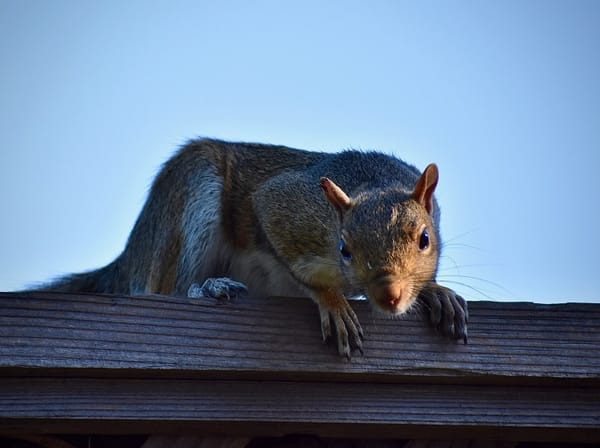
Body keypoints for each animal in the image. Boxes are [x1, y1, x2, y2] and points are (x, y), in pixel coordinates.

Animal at [36, 138, 468, 358]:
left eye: (425, 239)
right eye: (344, 248)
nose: (390, 295)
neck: (372, 184)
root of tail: (131, 256)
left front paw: (436, 292)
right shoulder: (287, 207)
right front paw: (332, 302)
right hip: (190, 197)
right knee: (168, 290)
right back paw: (208, 288)